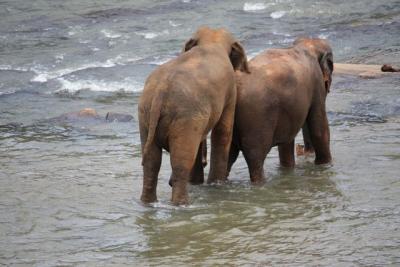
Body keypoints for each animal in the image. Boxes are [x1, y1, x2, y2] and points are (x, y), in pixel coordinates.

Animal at [139, 26, 248, 205]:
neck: (211, 41)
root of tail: (162, 90)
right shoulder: (230, 89)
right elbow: (223, 131)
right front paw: (216, 184)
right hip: (184, 116)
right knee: (180, 163)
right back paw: (182, 204)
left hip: (147, 114)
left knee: (151, 163)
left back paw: (148, 202)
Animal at [228, 37, 334, 183]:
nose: (306, 151)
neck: (303, 46)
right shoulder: (316, 80)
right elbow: (319, 128)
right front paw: (325, 165)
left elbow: (287, 139)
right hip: (256, 120)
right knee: (255, 157)